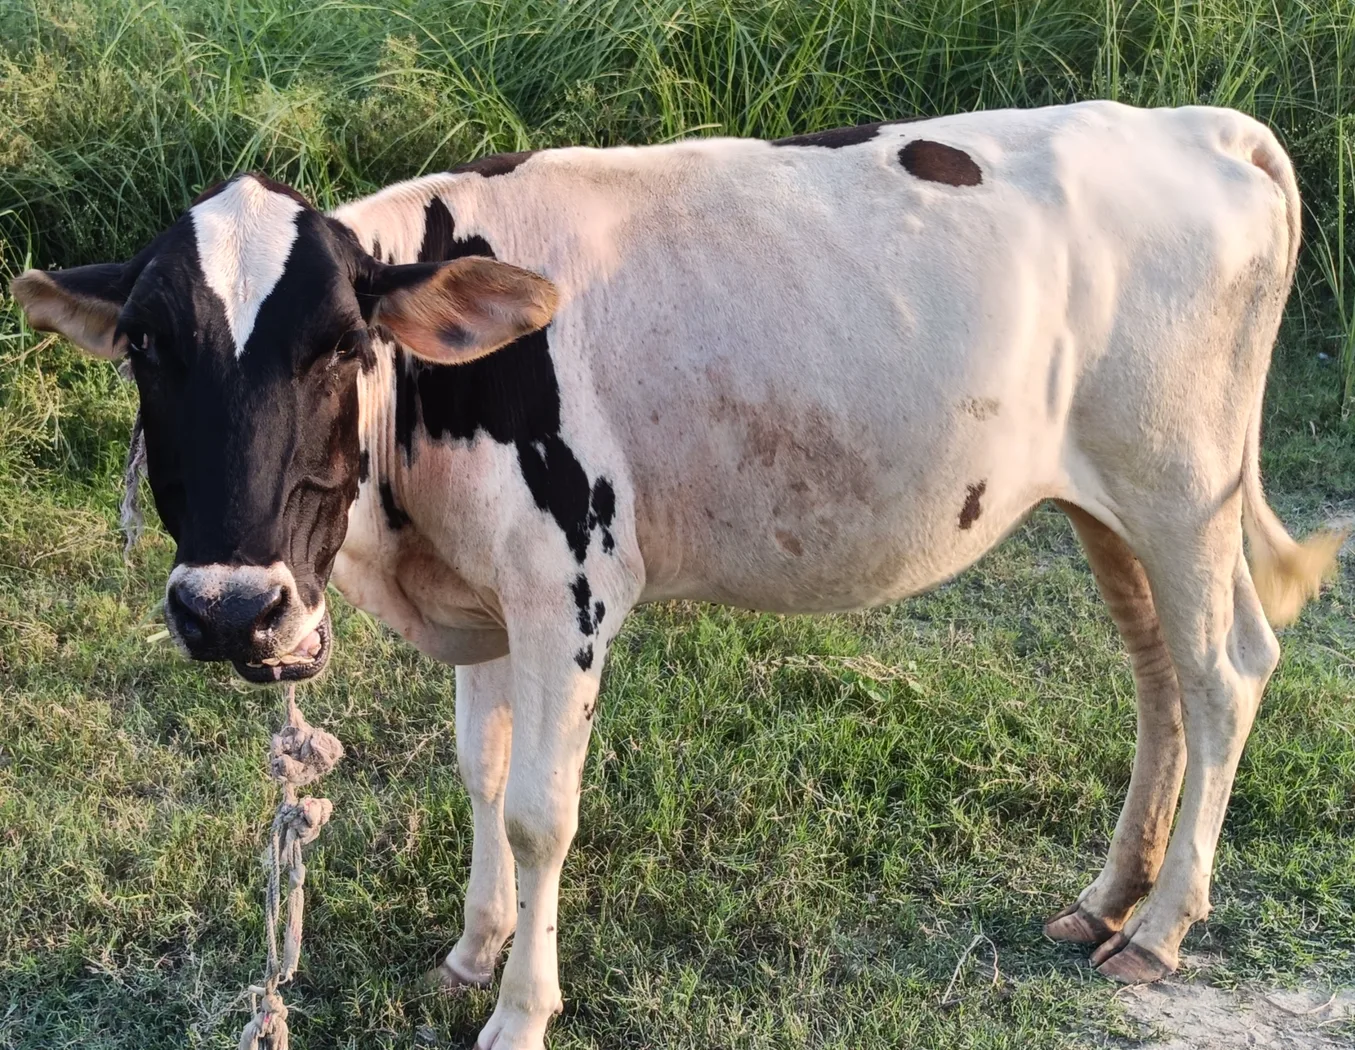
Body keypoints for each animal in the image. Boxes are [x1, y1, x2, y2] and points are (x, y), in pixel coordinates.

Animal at [11, 100, 1345, 1049]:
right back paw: (1106, 896)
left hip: (1180, 486)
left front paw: (519, 1012)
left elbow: (541, 812)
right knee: (1155, 678)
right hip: (1099, 501)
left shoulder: (568, 586)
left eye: (343, 342)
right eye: (145, 343)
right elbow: (479, 773)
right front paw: (470, 952)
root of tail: (1196, 124)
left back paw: (1161, 927)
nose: (232, 608)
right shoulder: (489, 600)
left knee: (1223, 672)